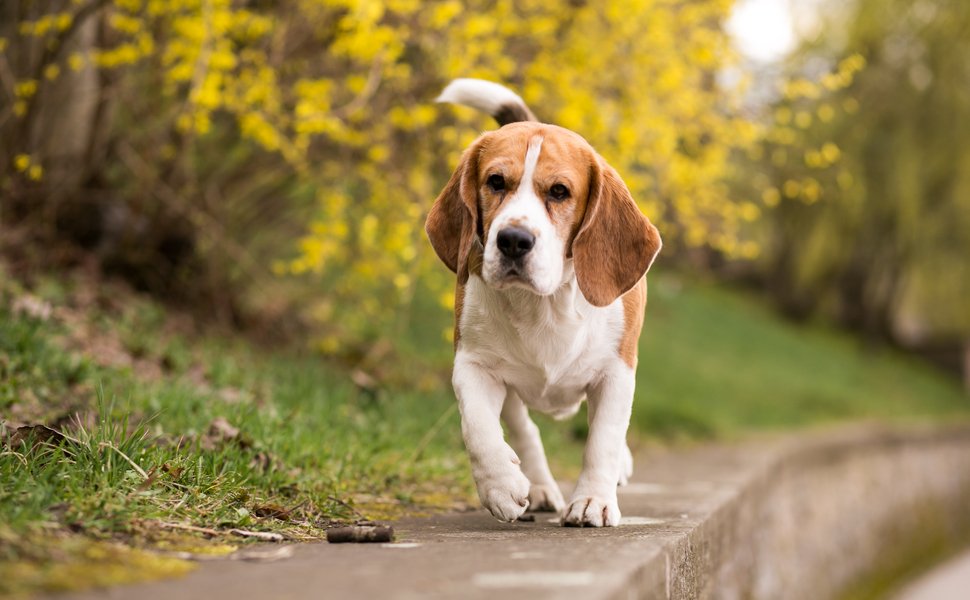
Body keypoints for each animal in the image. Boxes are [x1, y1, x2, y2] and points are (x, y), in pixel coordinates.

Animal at [428, 78, 660, 524]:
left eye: (559, 191)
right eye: (496, 182)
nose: (513, 240)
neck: (545, 303)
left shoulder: (617, 371)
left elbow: (603, 439)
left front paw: (593, 500)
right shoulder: (473, 363)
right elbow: (479, 428)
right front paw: (501, 486)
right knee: (521, 426)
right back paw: (535, 486)